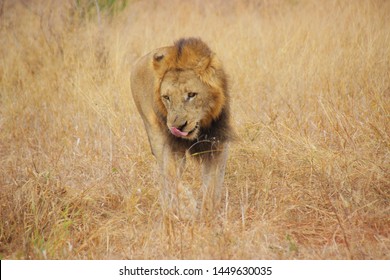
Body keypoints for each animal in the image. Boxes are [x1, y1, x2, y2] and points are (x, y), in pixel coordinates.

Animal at [131, 37, 235, 218]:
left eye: (191, 95)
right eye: (167, 97)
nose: (178, 126)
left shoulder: (218, 145)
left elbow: (212, 184)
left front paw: (209, 212)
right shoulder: (169, 146)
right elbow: (171, 176)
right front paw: (187, 207)